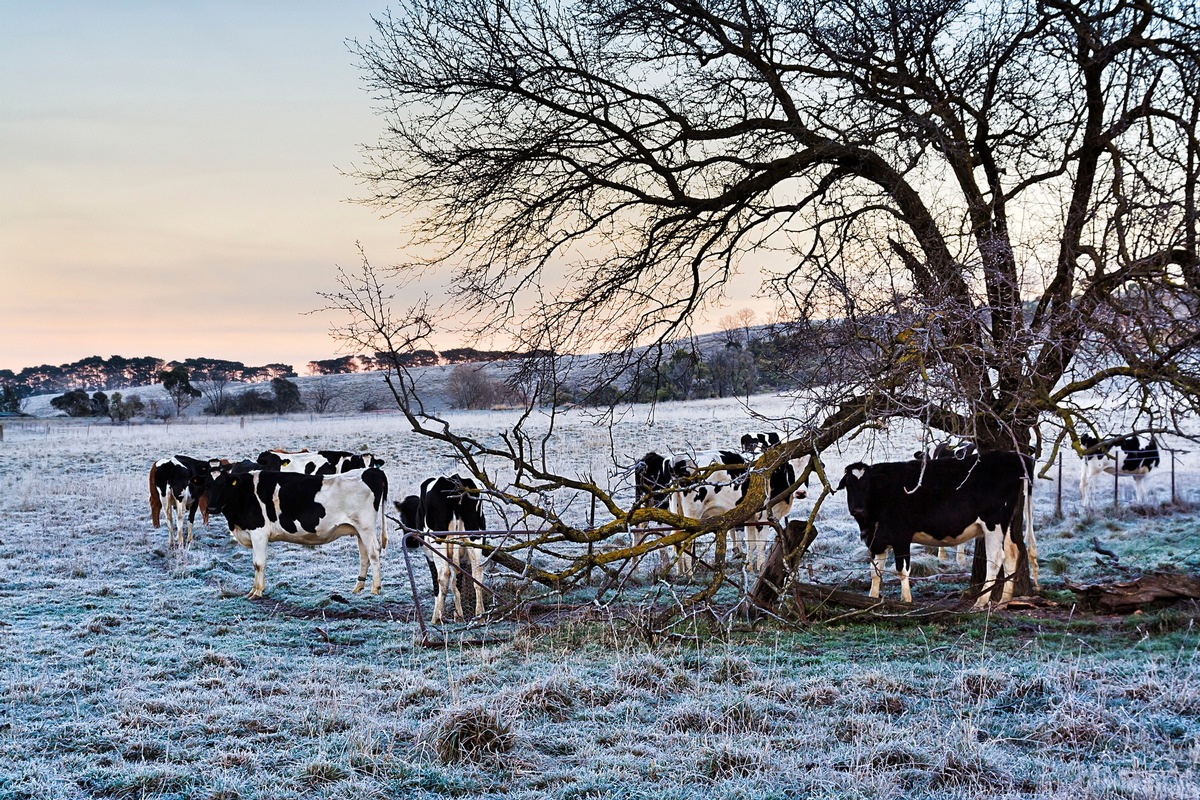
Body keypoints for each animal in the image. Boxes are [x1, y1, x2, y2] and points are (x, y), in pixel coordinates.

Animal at [203, 467, 388, 599]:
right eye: (207, 487)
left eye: (224, 485)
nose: (211, 508)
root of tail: (372, 470)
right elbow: (255, 564)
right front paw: (253, 590)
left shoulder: (259, 533)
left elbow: (259, 563)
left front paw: (257, 592)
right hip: (358, 530)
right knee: (364, 556)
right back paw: (358, 587)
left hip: (366, 527)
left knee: (373, 552)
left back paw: (375, 588)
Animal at [395, 475, 488, 624]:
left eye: (403, 518)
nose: (409, 543)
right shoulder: (464, 558)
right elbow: (458, 583)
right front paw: (458, 615)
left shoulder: (429, 554)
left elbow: (436, 585)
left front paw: (439, 615)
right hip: (474, 538)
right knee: (477, 574)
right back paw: (480, 616)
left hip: (438, 541)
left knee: (444, 575)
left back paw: (437, 618)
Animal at [837, 452, 1037, 607]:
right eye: (849, 485)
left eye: (868, 485)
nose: (858, 509)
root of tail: (1016, 457)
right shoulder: (876, 539)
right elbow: (875, 572)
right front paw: (871, 600)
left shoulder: (901, 536)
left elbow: (902, 570)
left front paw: (906, 600)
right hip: (1009, 523)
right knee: (1012, 554)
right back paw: (1004, 600)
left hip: (993, 524)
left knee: (995, 559)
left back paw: (981, 602)